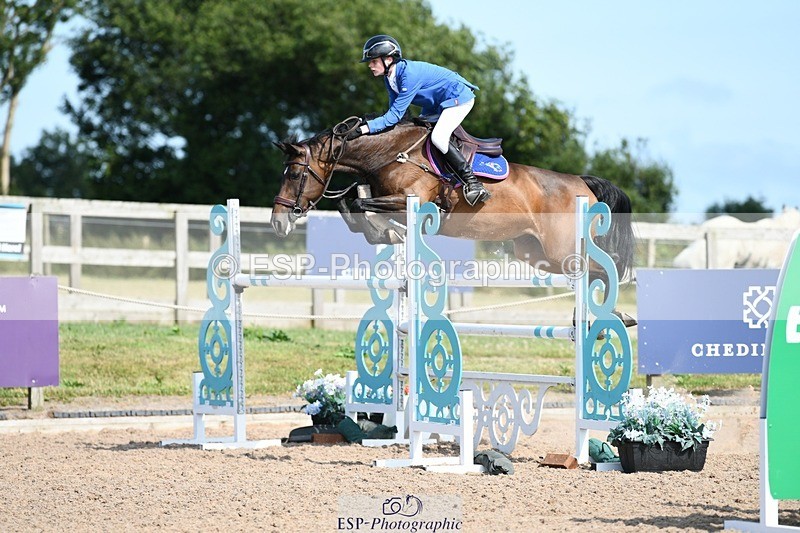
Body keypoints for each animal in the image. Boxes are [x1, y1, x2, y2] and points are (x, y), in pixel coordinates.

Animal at [271, 117, 636, 283]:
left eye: (294, 175)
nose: (277, 222)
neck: (389, 155)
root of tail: (582, 182)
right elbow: (351, 205)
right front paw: (386, 234)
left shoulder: (413, 203)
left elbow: (361, 205)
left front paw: (388, 232)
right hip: (534, 252)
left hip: (561, 251)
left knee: (608, 264)